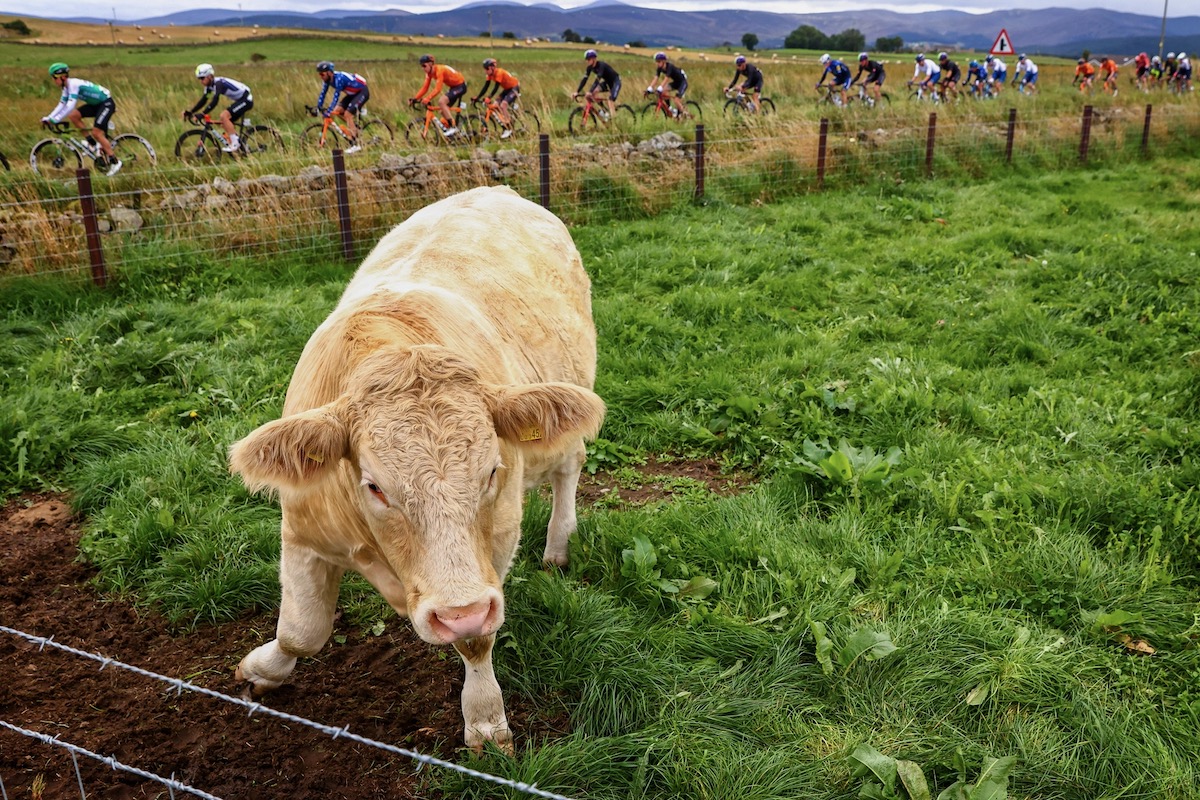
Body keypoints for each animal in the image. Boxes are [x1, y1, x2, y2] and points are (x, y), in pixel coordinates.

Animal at [229, 185, 604, 753]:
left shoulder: (494, 546)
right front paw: (263, 670)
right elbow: (302, 630)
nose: (456, 612)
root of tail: (496, 190)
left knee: (569, 467)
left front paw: (485, 720)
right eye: (375, 486)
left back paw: (559, 545)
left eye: (491, 472)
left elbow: (477, 641)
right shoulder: (301, 530)